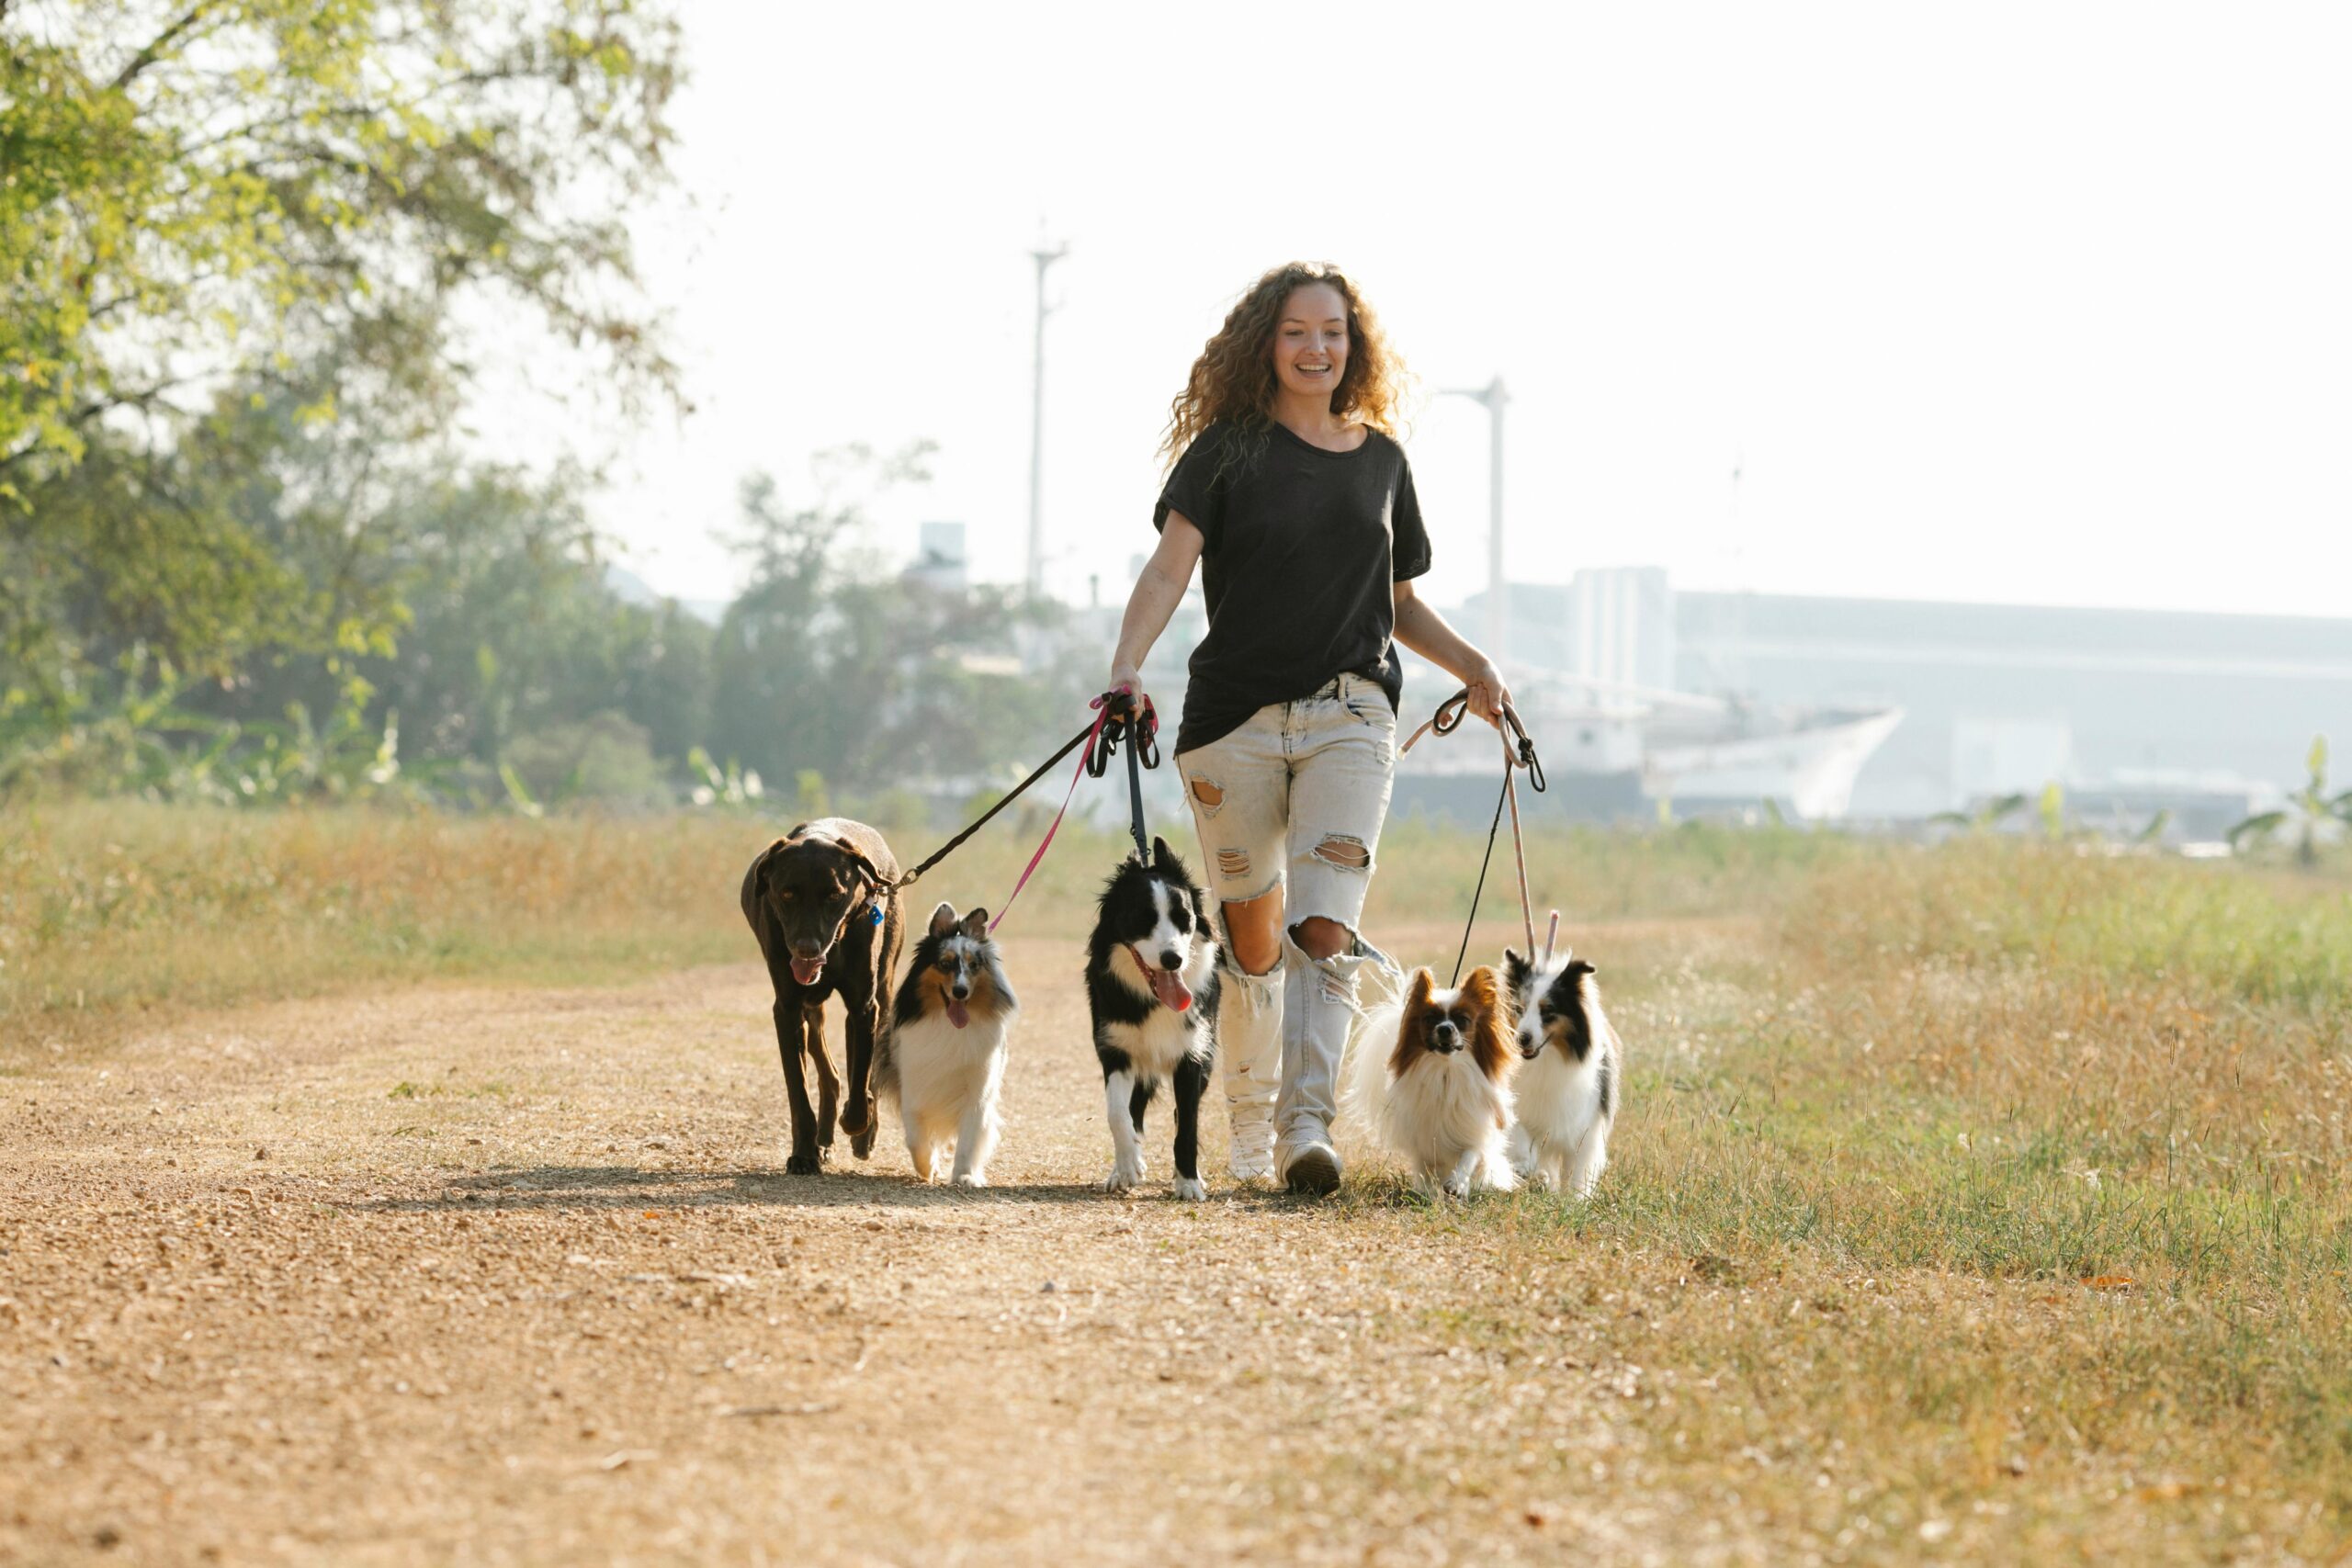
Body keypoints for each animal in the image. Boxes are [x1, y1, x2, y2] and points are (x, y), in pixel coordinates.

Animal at [875, 902, 1021, 1184]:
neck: (949, 1025)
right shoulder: (914, 1086)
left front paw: (964, 1176)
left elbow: (968, 1141)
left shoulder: (978, 1092)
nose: (960, 992)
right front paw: (927, 1168)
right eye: (944, 964)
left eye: (974, 965)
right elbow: (916, 1138)